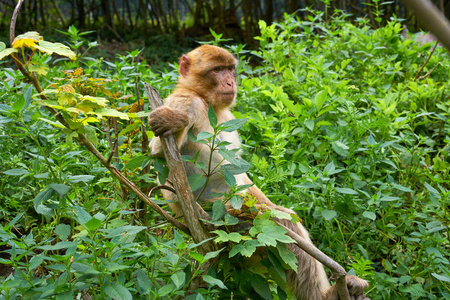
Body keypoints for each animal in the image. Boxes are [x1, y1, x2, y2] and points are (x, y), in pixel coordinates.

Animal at [148, 45, 370, 300]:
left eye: (229, 69)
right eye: (216, 70)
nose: (230, 83)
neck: (207, 102)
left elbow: (243, 177)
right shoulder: (186, 102)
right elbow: (160, 155)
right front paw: (173, 124)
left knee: (287, 220)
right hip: (224, 223)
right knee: (275, 224)